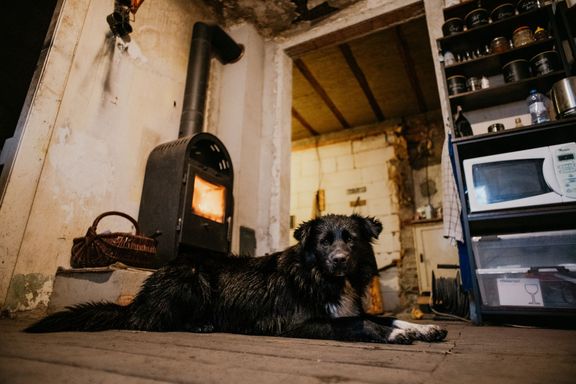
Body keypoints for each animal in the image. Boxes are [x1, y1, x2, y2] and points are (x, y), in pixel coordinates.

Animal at [24, 214, 448, 344]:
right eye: (324, 242)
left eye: (352, 240)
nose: (341, 261)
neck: (320, 276)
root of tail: (137, 300)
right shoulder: (299, 323)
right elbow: (361, 323)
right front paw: (394, 335)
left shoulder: (343, 307)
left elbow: (383, 316)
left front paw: (421, 328)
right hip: (191, 275)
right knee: (152, 323)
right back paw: (200, 325)